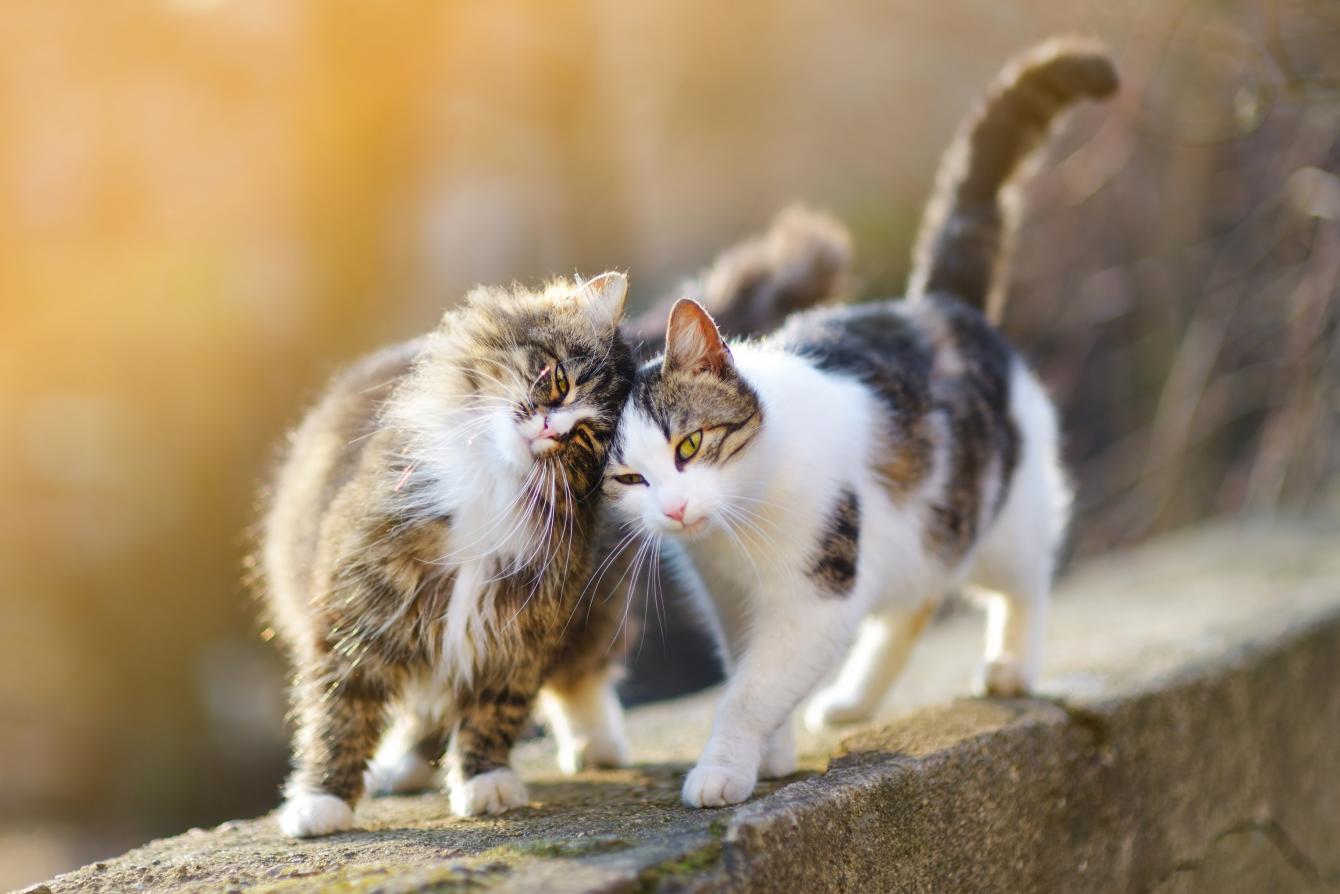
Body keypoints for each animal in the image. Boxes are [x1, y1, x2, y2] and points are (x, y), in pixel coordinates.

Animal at [603, 40, 1114, 809]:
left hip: (1004, 512)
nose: (676, 508)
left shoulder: (817, 595)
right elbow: (752, 672)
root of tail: (937, 303)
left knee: (1025, 580)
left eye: (689, 444)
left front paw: (723, 769)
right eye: (629, 478)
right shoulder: (732, 602)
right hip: (918, 532)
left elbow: (750, 691)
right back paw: (853, 700)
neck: (739, 528)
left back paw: (1011, 665)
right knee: (915, 601)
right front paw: (771, 753)